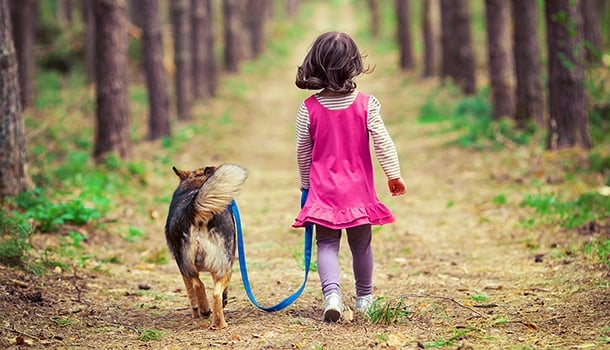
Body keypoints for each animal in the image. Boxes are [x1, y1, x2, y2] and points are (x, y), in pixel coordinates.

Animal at [164, 163, 247, 328]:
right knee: (214, 292)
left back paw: (205, 311)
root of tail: (193, 210)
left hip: (188, 265)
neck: (195, 185)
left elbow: (190, 291)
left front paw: (195, 312)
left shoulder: (181, 268)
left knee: (198, 285)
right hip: (223, 266)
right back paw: (219, 323)